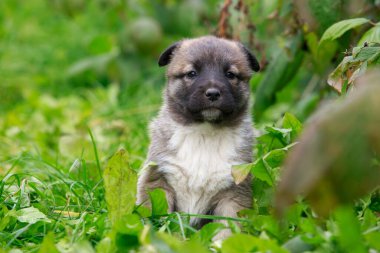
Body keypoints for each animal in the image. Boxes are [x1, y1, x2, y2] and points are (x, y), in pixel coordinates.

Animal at [138, 35, 260, 237]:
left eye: (230, 74)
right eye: (192, 73)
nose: (213, 93)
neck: (204, 133)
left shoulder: (233, 192)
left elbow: (228, 228)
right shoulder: (158, 180)